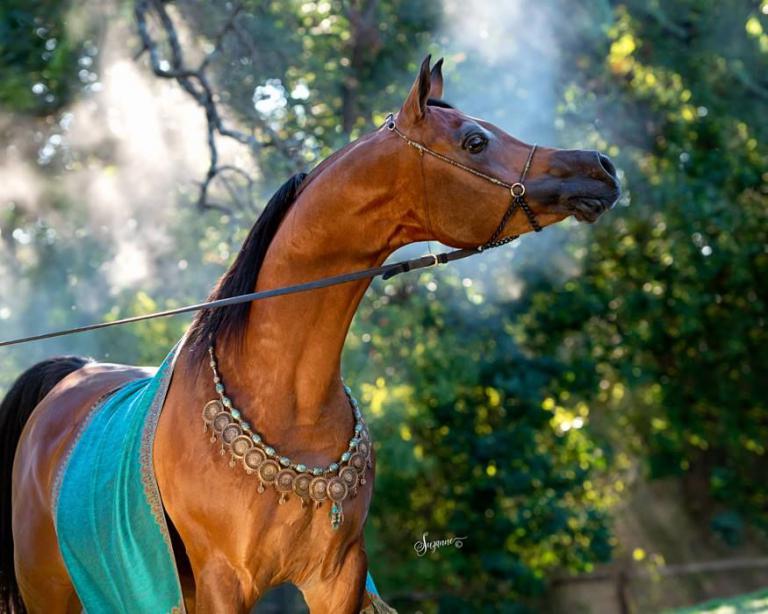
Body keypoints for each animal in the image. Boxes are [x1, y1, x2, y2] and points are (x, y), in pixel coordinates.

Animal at [0, 56, 620, 613]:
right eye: (474, 141)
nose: (602, 167)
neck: (286, 399)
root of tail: (72, 375)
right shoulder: (225, 582)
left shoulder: (337, 576)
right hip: (51, 591)